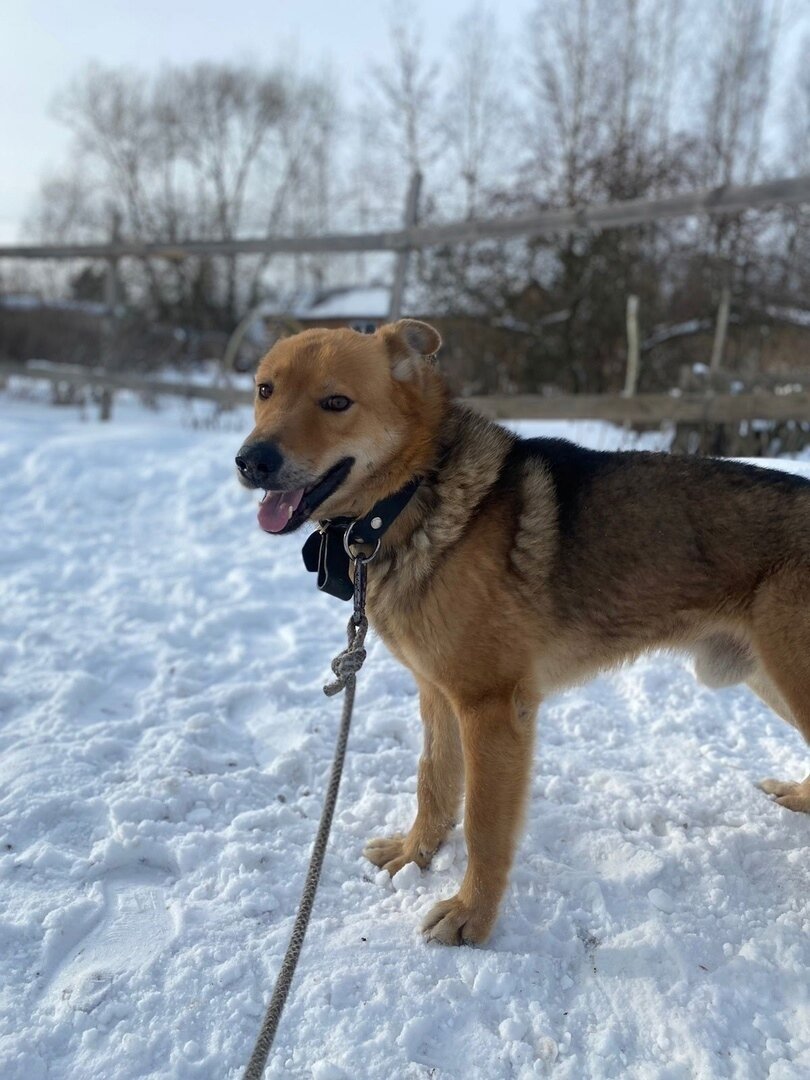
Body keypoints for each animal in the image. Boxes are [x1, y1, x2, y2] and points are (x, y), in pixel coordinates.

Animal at [236, 319, 810, 946]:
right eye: (265, 391)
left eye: (336, 402)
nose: (250, 461)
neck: (413, 495)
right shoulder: (438, 695)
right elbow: (434, 784)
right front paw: (416, 856)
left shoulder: (491, 710)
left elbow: (483, 825)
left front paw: (471, 917)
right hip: (770, 680)